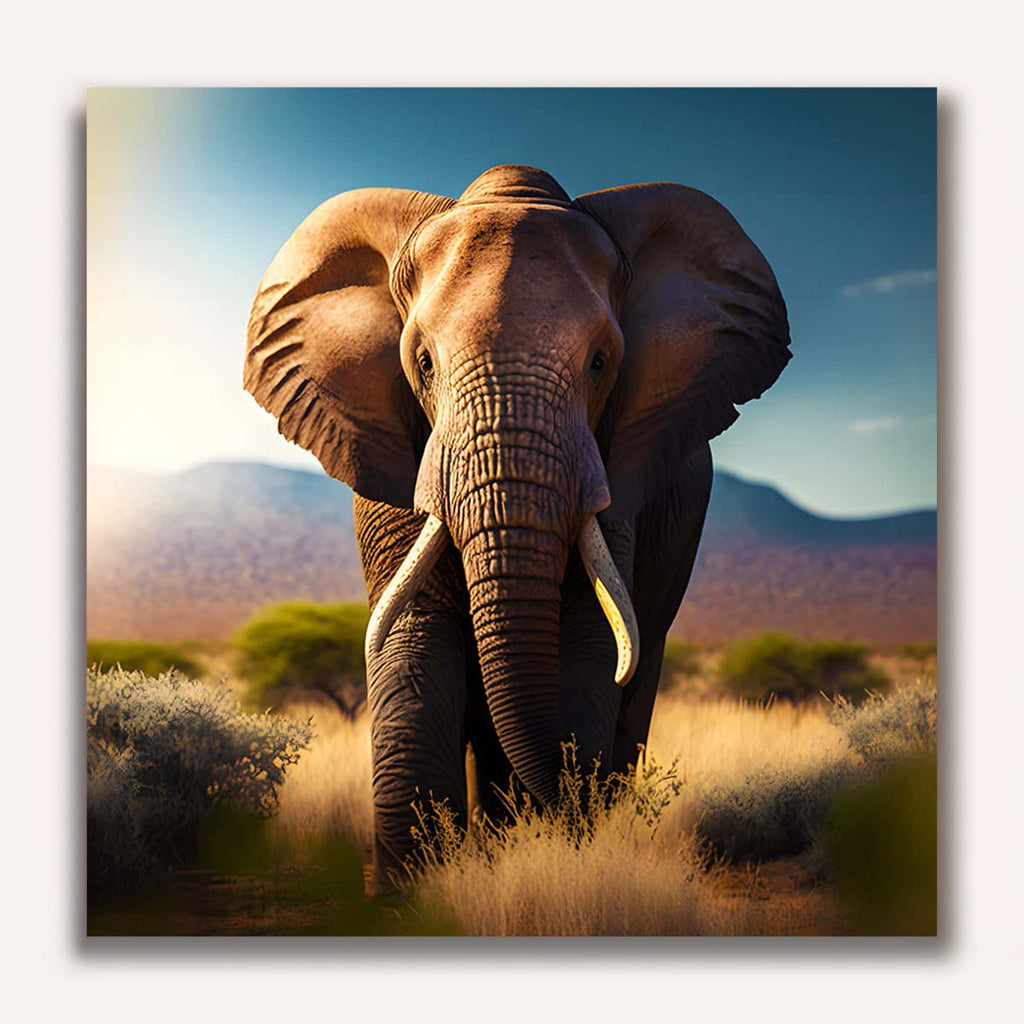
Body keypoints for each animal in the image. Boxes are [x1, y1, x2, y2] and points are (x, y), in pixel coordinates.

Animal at [244, 165, 790, 890]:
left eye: (601, 361)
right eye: (422, 362)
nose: (559, 814)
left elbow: (588, 638)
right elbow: (415, 638)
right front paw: (410, 894)